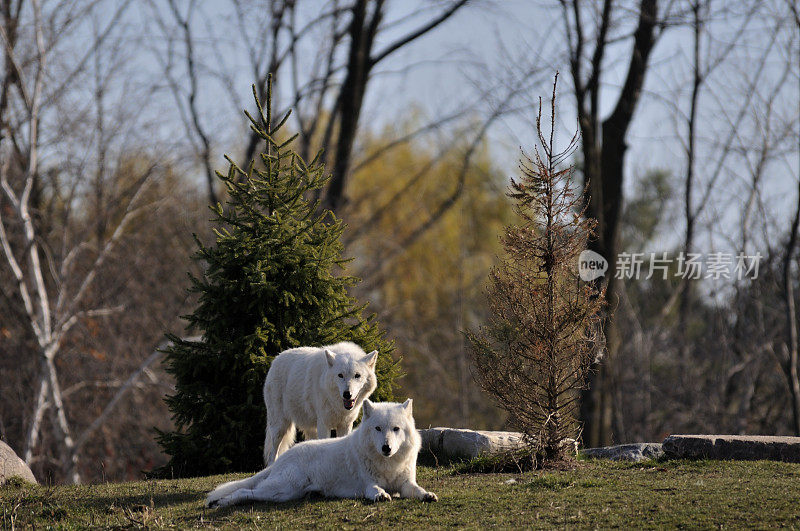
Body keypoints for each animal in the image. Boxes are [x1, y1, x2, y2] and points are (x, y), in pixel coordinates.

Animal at [203, 402, 434, 510]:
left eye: (395, 429)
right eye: (378, 428)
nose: (386, 448)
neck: (388, 464)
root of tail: (283, 458)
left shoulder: (405, 484)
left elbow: (416, 489)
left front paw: (427, 495)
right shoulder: (368, 485)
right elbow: (376, 490)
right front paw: (381, 495)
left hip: (285, 493)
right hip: (282, 490)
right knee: (244, 491)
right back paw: (221, 503)